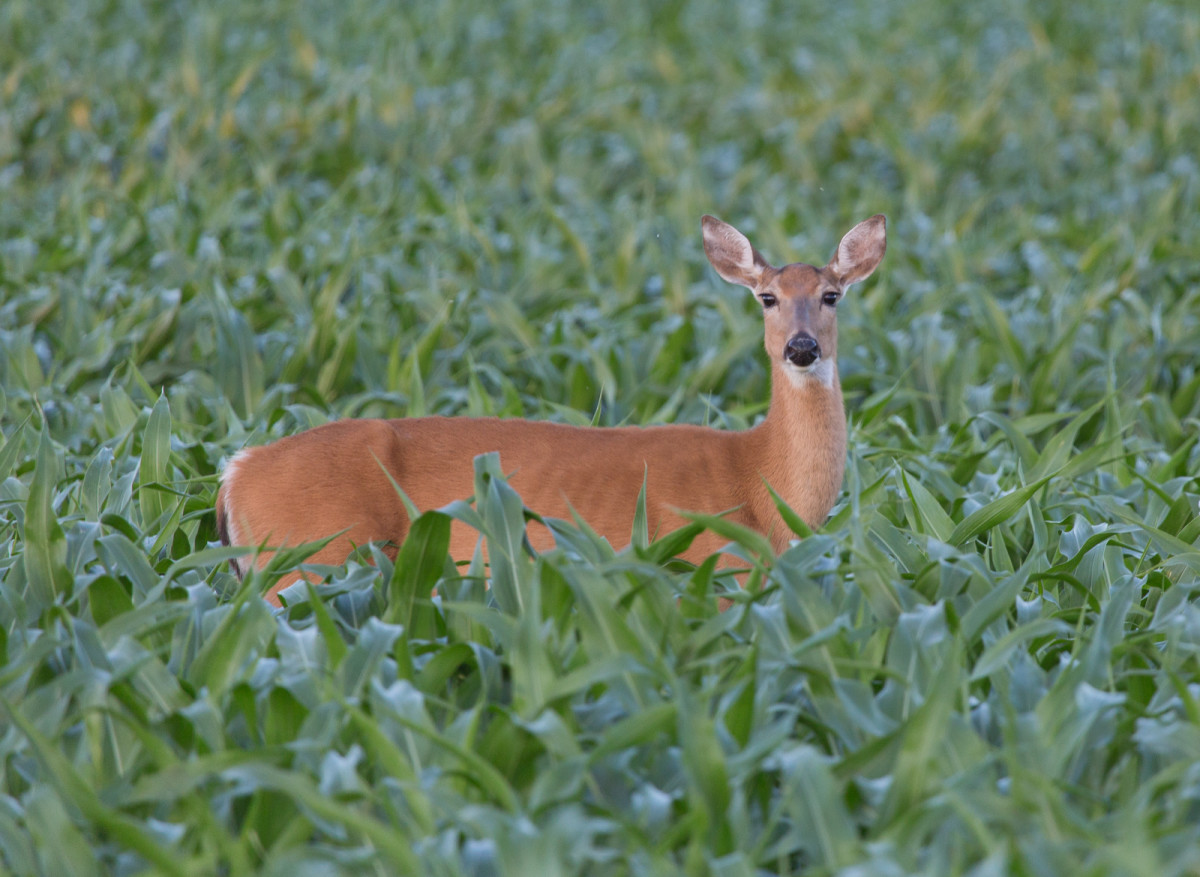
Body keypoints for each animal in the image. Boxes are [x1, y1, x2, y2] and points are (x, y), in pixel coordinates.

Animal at [216, 215, 883, 607]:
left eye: (832, 294)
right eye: (767, 297)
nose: (802, 347)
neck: (757, 480)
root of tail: (234, 471)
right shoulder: (710, 572)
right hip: (311, 558)